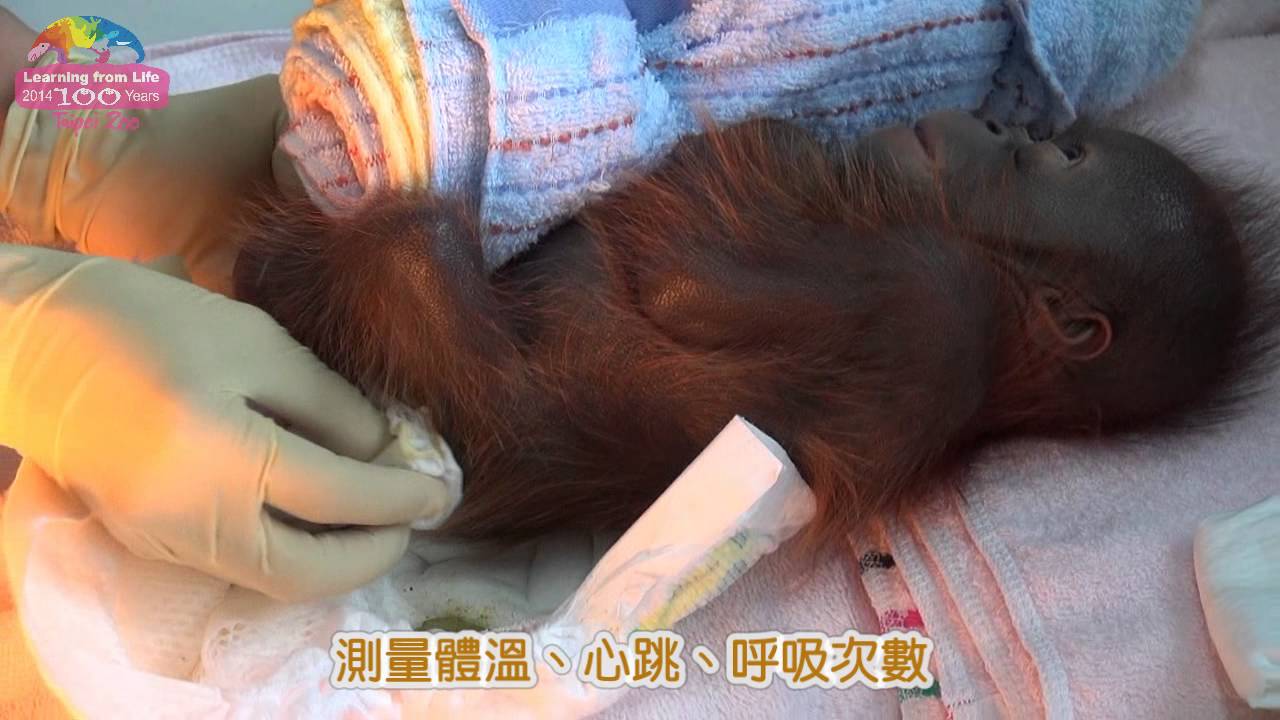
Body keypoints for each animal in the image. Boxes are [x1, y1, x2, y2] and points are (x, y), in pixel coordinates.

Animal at [233, 110, 1280, 548]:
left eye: (1057, 156)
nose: (995, 124)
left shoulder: (929, 285)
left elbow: (687, 289)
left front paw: (759, 141)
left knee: (414, 246)